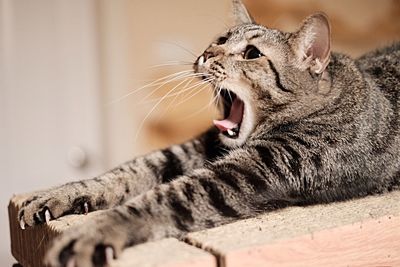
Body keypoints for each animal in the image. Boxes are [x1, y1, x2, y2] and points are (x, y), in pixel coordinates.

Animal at [16, 0, 400, 267]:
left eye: (251, 54)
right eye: (220, 39)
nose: (205, 54)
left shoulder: (257, 167)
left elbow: (165, 197)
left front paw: (95, 230)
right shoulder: (200, 147)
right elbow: (130, 170)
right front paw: (62, 193)